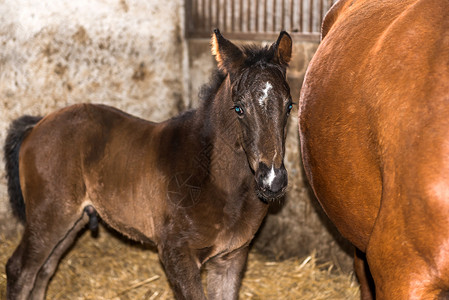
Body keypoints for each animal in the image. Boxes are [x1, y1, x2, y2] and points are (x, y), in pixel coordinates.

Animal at [5, 28, 292, 300]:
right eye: (239, 108)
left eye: (289, 106)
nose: (273, 180)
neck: (213, 180)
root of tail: (37, 125)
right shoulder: (177, 256)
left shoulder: (231, 258)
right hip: (49, 215)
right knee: (21, 270)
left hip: (72, 221)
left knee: (43, 270)